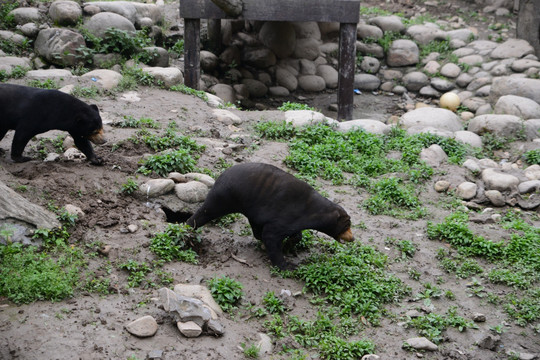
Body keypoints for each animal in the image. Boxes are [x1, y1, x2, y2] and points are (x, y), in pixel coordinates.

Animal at [186, 162, 354, 268]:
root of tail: (220, 177)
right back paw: (187, 229)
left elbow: (294, 233)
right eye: (347, 225)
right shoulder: (287, 215)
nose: (352, 238)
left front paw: (290, 243)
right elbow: (271, 235)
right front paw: (286, 265)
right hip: (224, 197)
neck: (315, 210)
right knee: (205, 213)